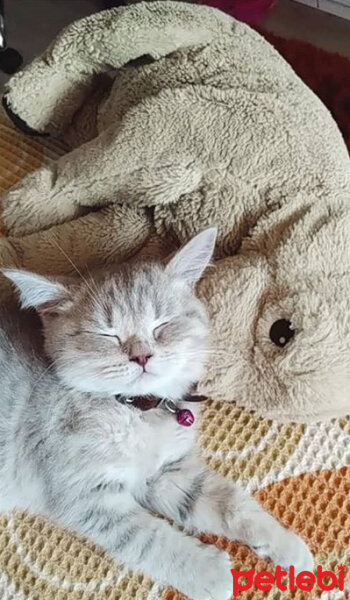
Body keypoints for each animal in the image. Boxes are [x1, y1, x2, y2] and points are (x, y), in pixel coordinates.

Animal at [0, 230, 312, 600]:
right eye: (107, 334)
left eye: (162, 324)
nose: (142, 356)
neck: (136, 413)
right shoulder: (87, 496)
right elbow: (149, 540)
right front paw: (211, 573)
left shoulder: (166, 473)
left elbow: (230, 503)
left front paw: (286, 545)